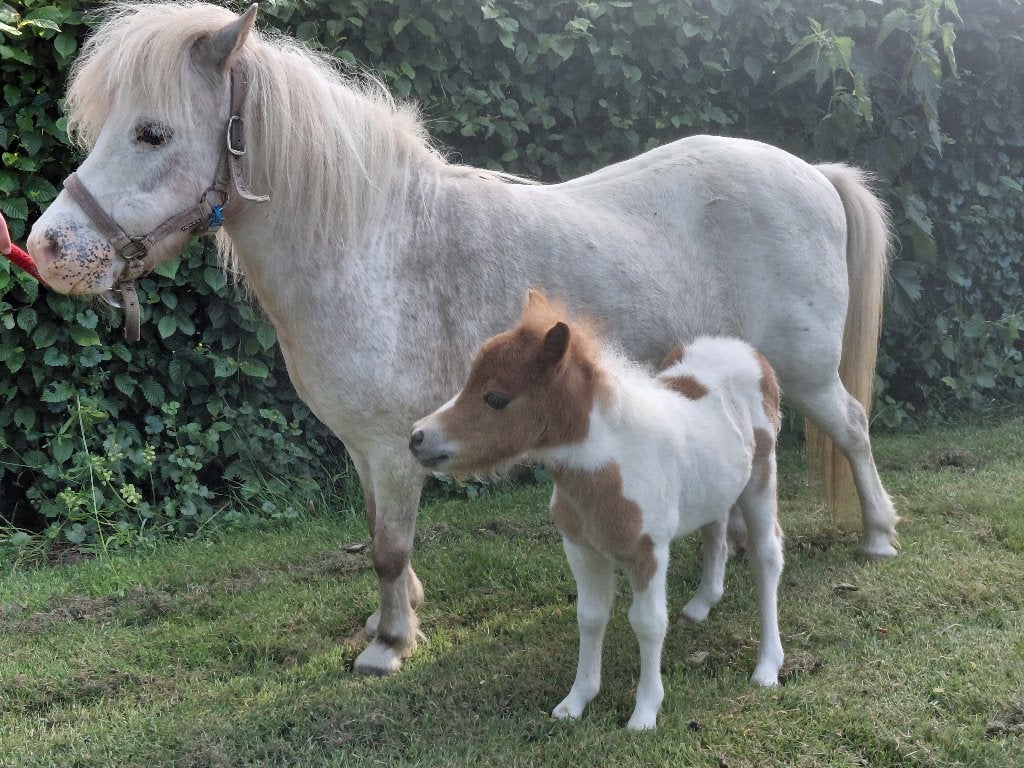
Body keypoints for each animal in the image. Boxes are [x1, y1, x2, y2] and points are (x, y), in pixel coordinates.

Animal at [27, 2, 897, 677]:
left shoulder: (391, 444)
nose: (47, 247)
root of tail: (813, 173)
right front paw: (396, 616)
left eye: (152, 132)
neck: (373, 245)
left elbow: (387, 545)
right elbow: (380, 535)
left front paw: (387, 647)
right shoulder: (367, 447)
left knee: (854, 428)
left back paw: (879, 537)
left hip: (807, 373)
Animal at [410, 290, 786, 729]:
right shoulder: (581, 549)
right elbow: (590, 616)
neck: (609, 465)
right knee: (716, 532)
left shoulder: (648, 553)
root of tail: (744, 349)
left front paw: (644, 712)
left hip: (761, 481)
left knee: (766, 557)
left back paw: (767, 666)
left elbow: (648, 623)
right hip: (715, 485)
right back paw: (702, 604)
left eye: (496, 398)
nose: (417, 437)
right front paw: (576, 701)